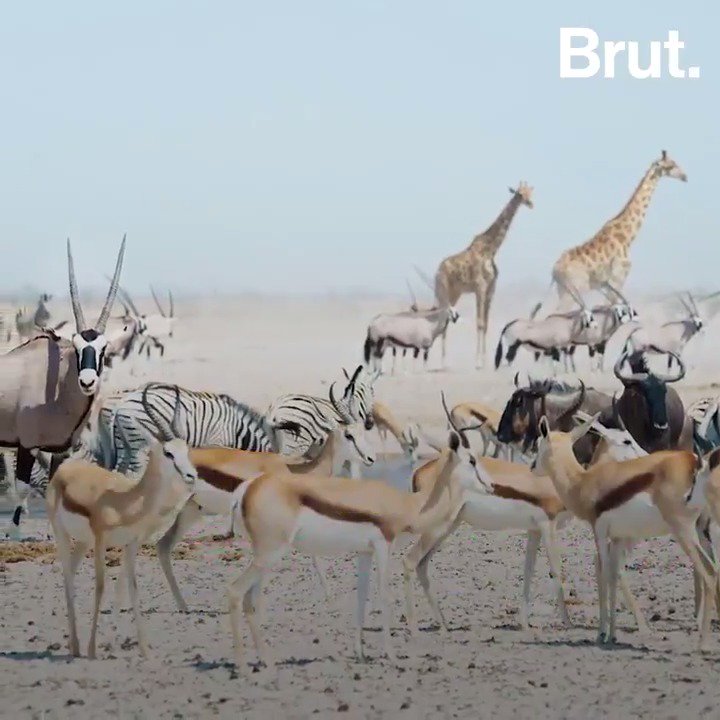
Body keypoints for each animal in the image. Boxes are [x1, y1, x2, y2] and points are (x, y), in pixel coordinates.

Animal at [46, 386, 198, 659]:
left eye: (186, 450)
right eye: (168, 452)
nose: (192, 475)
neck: (127, 500)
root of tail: (65, 469)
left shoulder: (131, 544)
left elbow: (132, 587)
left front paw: (145, 650)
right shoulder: (101, 541)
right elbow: (101, 586)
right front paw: (93, 649)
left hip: (83, 542)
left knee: (71, 573)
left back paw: (74, 646)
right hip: (63, 534)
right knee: (66, 574)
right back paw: (78, 647)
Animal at [226, 393, 491, 671]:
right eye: (472, 460)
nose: (490, 486)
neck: (408, 504)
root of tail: (248, 488)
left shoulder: (365, 552)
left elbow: (361, 598)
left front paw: (361, 653)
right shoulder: (384, 545)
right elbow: (384, 595)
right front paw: (391, 655)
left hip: (264, 557)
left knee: (250, 600)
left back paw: (266, 662)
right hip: (270, 554)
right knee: (235, 592)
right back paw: (242, 666)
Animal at [433, 182, 534, 368]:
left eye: (529, 193)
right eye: (519, 194)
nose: (530, 203)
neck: (492, 250)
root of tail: (437, 271)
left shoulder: (490, 290)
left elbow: (486, 324)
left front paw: (487, 361)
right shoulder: (480, 287)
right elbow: (479, 323)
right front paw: (478, 362)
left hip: (455, 293)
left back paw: (443, 362)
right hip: (443, 290)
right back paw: (441, 363)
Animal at [533, 413, 716, 648]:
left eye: (539, 443)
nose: (532, 467)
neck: (582, 482)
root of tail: (694, 462)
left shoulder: (600, 532)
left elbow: (604, 575)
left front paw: (602, 634)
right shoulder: (618, 537)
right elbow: (613, 575)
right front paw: (612, 634)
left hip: (683, 531)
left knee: (709, 573)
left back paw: (702, 643)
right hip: (698, 531)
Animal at [550, 150, 687, 310]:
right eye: (671, 166)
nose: (685, 177)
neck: (628, 237)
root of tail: (554, 270)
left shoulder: (613, 282)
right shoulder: (618, 277)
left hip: (563, 290)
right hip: (573, 289)